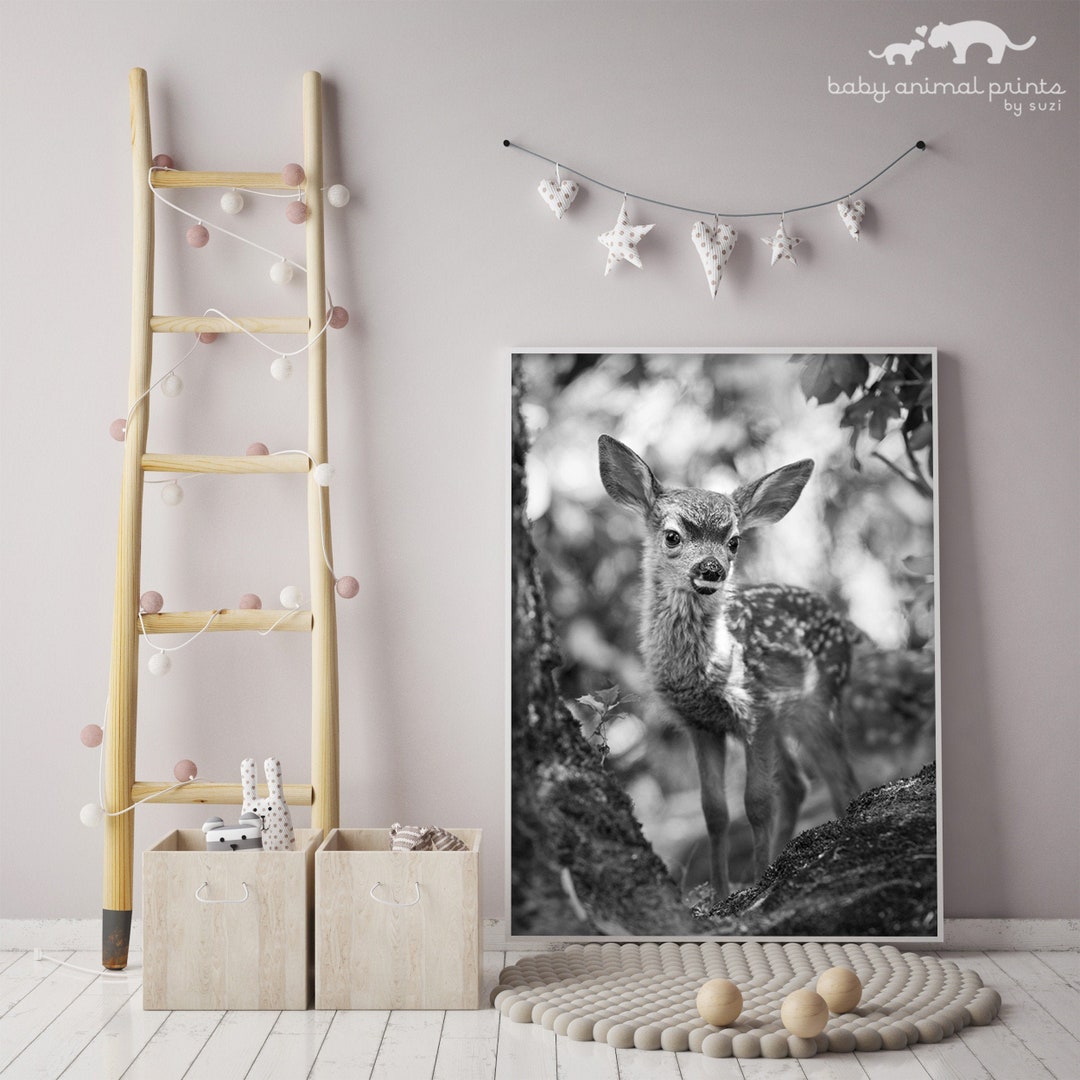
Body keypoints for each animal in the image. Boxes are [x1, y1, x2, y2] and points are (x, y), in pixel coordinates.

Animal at [597, 434, 860, 898]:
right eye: (672, 536)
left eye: (734, 541)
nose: (711, 568)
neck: (704, 668)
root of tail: (845, 625)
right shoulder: (701, 724)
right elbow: (714, 811)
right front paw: (722, 892)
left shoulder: (755, 710)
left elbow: (756, 803)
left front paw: (758, 883)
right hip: (788, 716)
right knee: (798, 783)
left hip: (818, 702)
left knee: (839, 778)